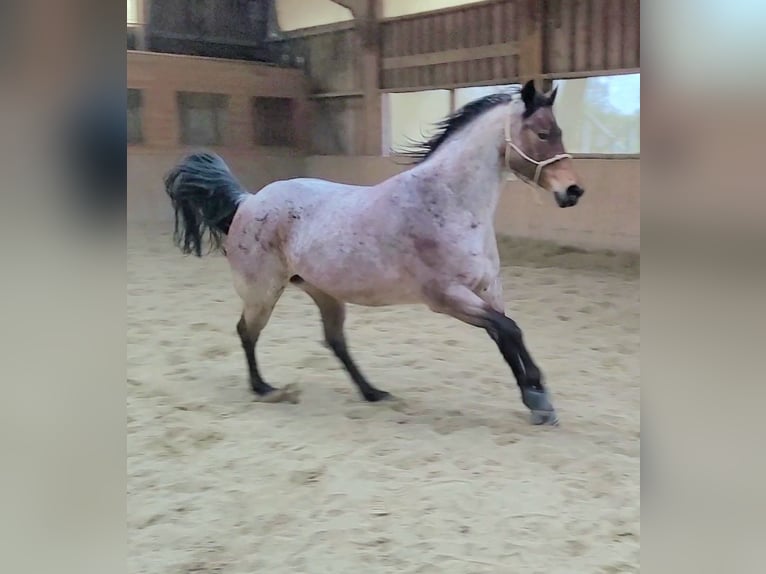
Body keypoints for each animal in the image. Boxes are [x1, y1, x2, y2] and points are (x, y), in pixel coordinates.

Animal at [164, 80, 584, 426]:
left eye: (559, 132)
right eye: (543, 133)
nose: (573, 191)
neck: (450, 203)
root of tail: (248, 200)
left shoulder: (487, 290)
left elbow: (507, 335)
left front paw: (537, 400)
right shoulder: (447, 298)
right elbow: (510, 330)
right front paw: (537, 395)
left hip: (324, 293)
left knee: (334, 342)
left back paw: (372, 392)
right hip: (262, 292)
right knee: (247, 332)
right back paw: (264, 388)